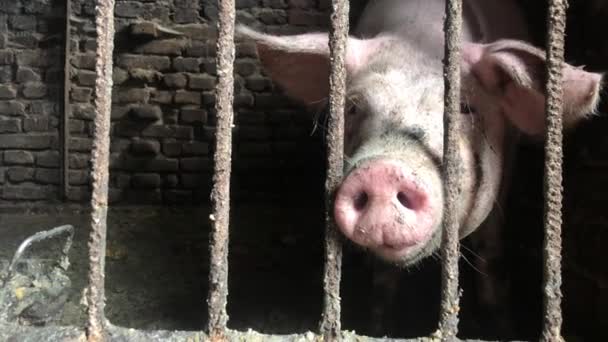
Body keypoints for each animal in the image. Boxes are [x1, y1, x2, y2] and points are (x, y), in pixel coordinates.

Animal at [239, 0, 604, 336]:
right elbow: (383, 280)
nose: (384, 171)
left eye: (465, 108)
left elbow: (490, 248)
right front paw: (378, 326)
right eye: (354, 107)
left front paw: (499, 326)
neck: (422, 36)